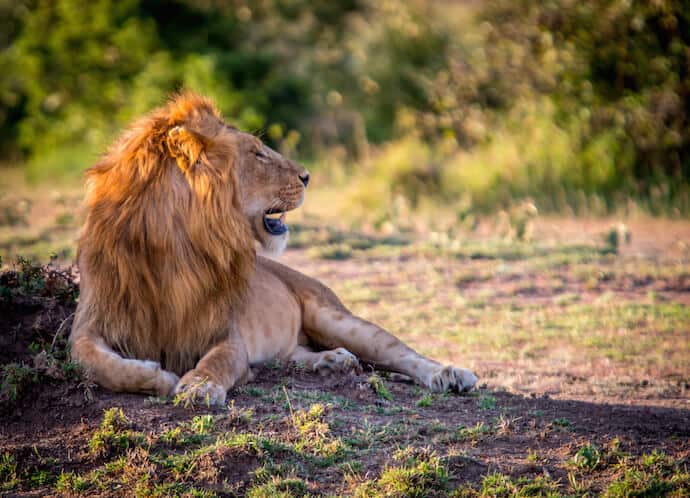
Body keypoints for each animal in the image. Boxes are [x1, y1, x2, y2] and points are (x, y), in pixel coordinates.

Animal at [71, 92, 478, 404]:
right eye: (257, 154)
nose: (308, 176)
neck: (172, 247)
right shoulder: (93, 318)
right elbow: (93, 361)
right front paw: (156, 376)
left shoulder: (225, 333)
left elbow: (216, 363)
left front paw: (199, 387)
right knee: (299, 353)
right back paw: (332, 361)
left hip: (335, 316)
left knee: (401, 353)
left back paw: (451, 374)